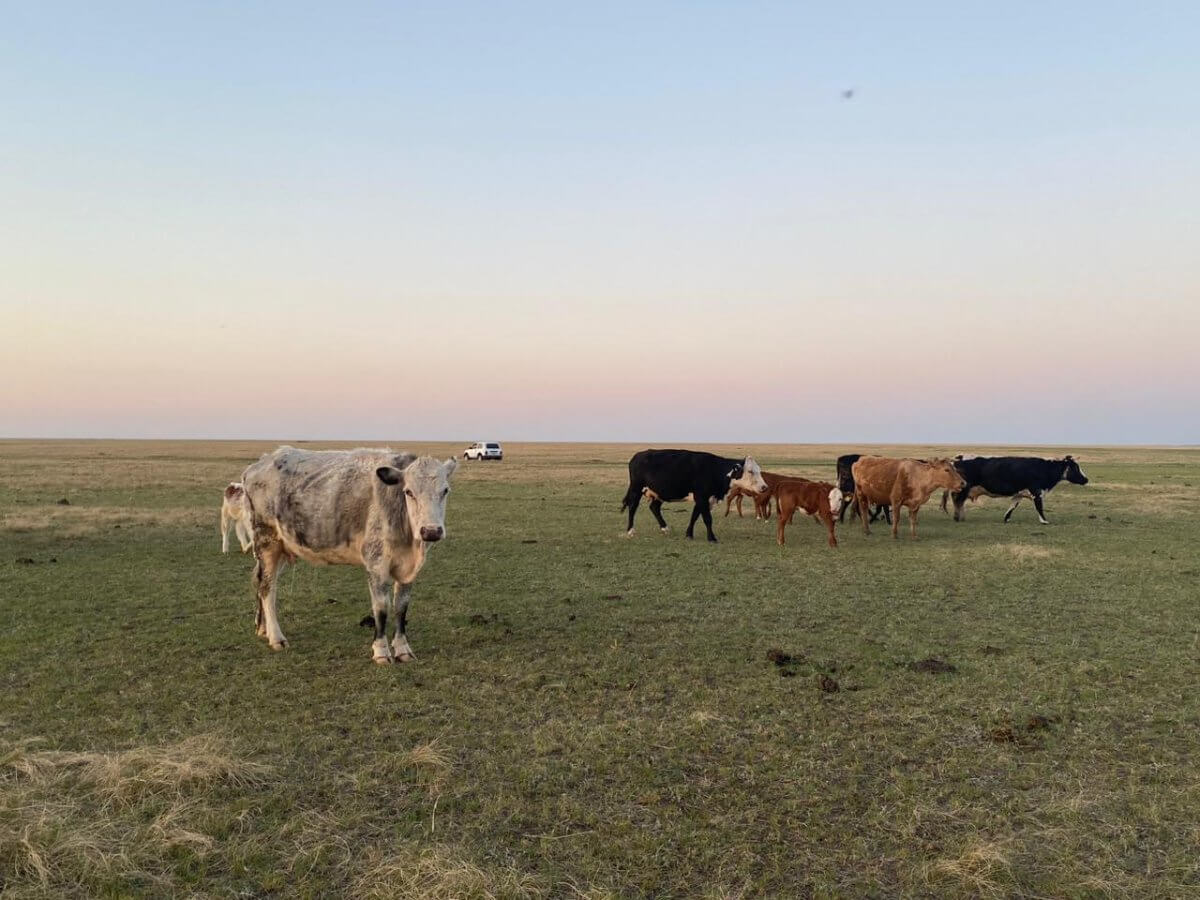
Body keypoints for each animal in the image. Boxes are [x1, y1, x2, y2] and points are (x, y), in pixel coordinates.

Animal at [624, 451, 763, 542]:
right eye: (750, 471)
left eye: (758, 470)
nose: (764, 487)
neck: (714, 469)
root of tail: (637, 456)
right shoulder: (702, 497)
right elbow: (707, 518)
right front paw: (711, 538)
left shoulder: (704, 499)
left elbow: (695, 516)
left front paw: (689, 534)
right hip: (636, 489)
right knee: (633, 507)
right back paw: (630, 531)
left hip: (659, 493)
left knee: (654, 507)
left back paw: (665, 528)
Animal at [950, 453, 1094, 525]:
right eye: (1075, 467)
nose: (1086, 479)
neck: (1045, 469)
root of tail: (959, 458)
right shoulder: (1037, 492)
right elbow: (1039, 507)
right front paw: (1044, 521)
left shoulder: (1019, 493)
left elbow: (1013, 506)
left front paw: (1006, 519)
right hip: (964, 488)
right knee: (958, 501)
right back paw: (958, 518)